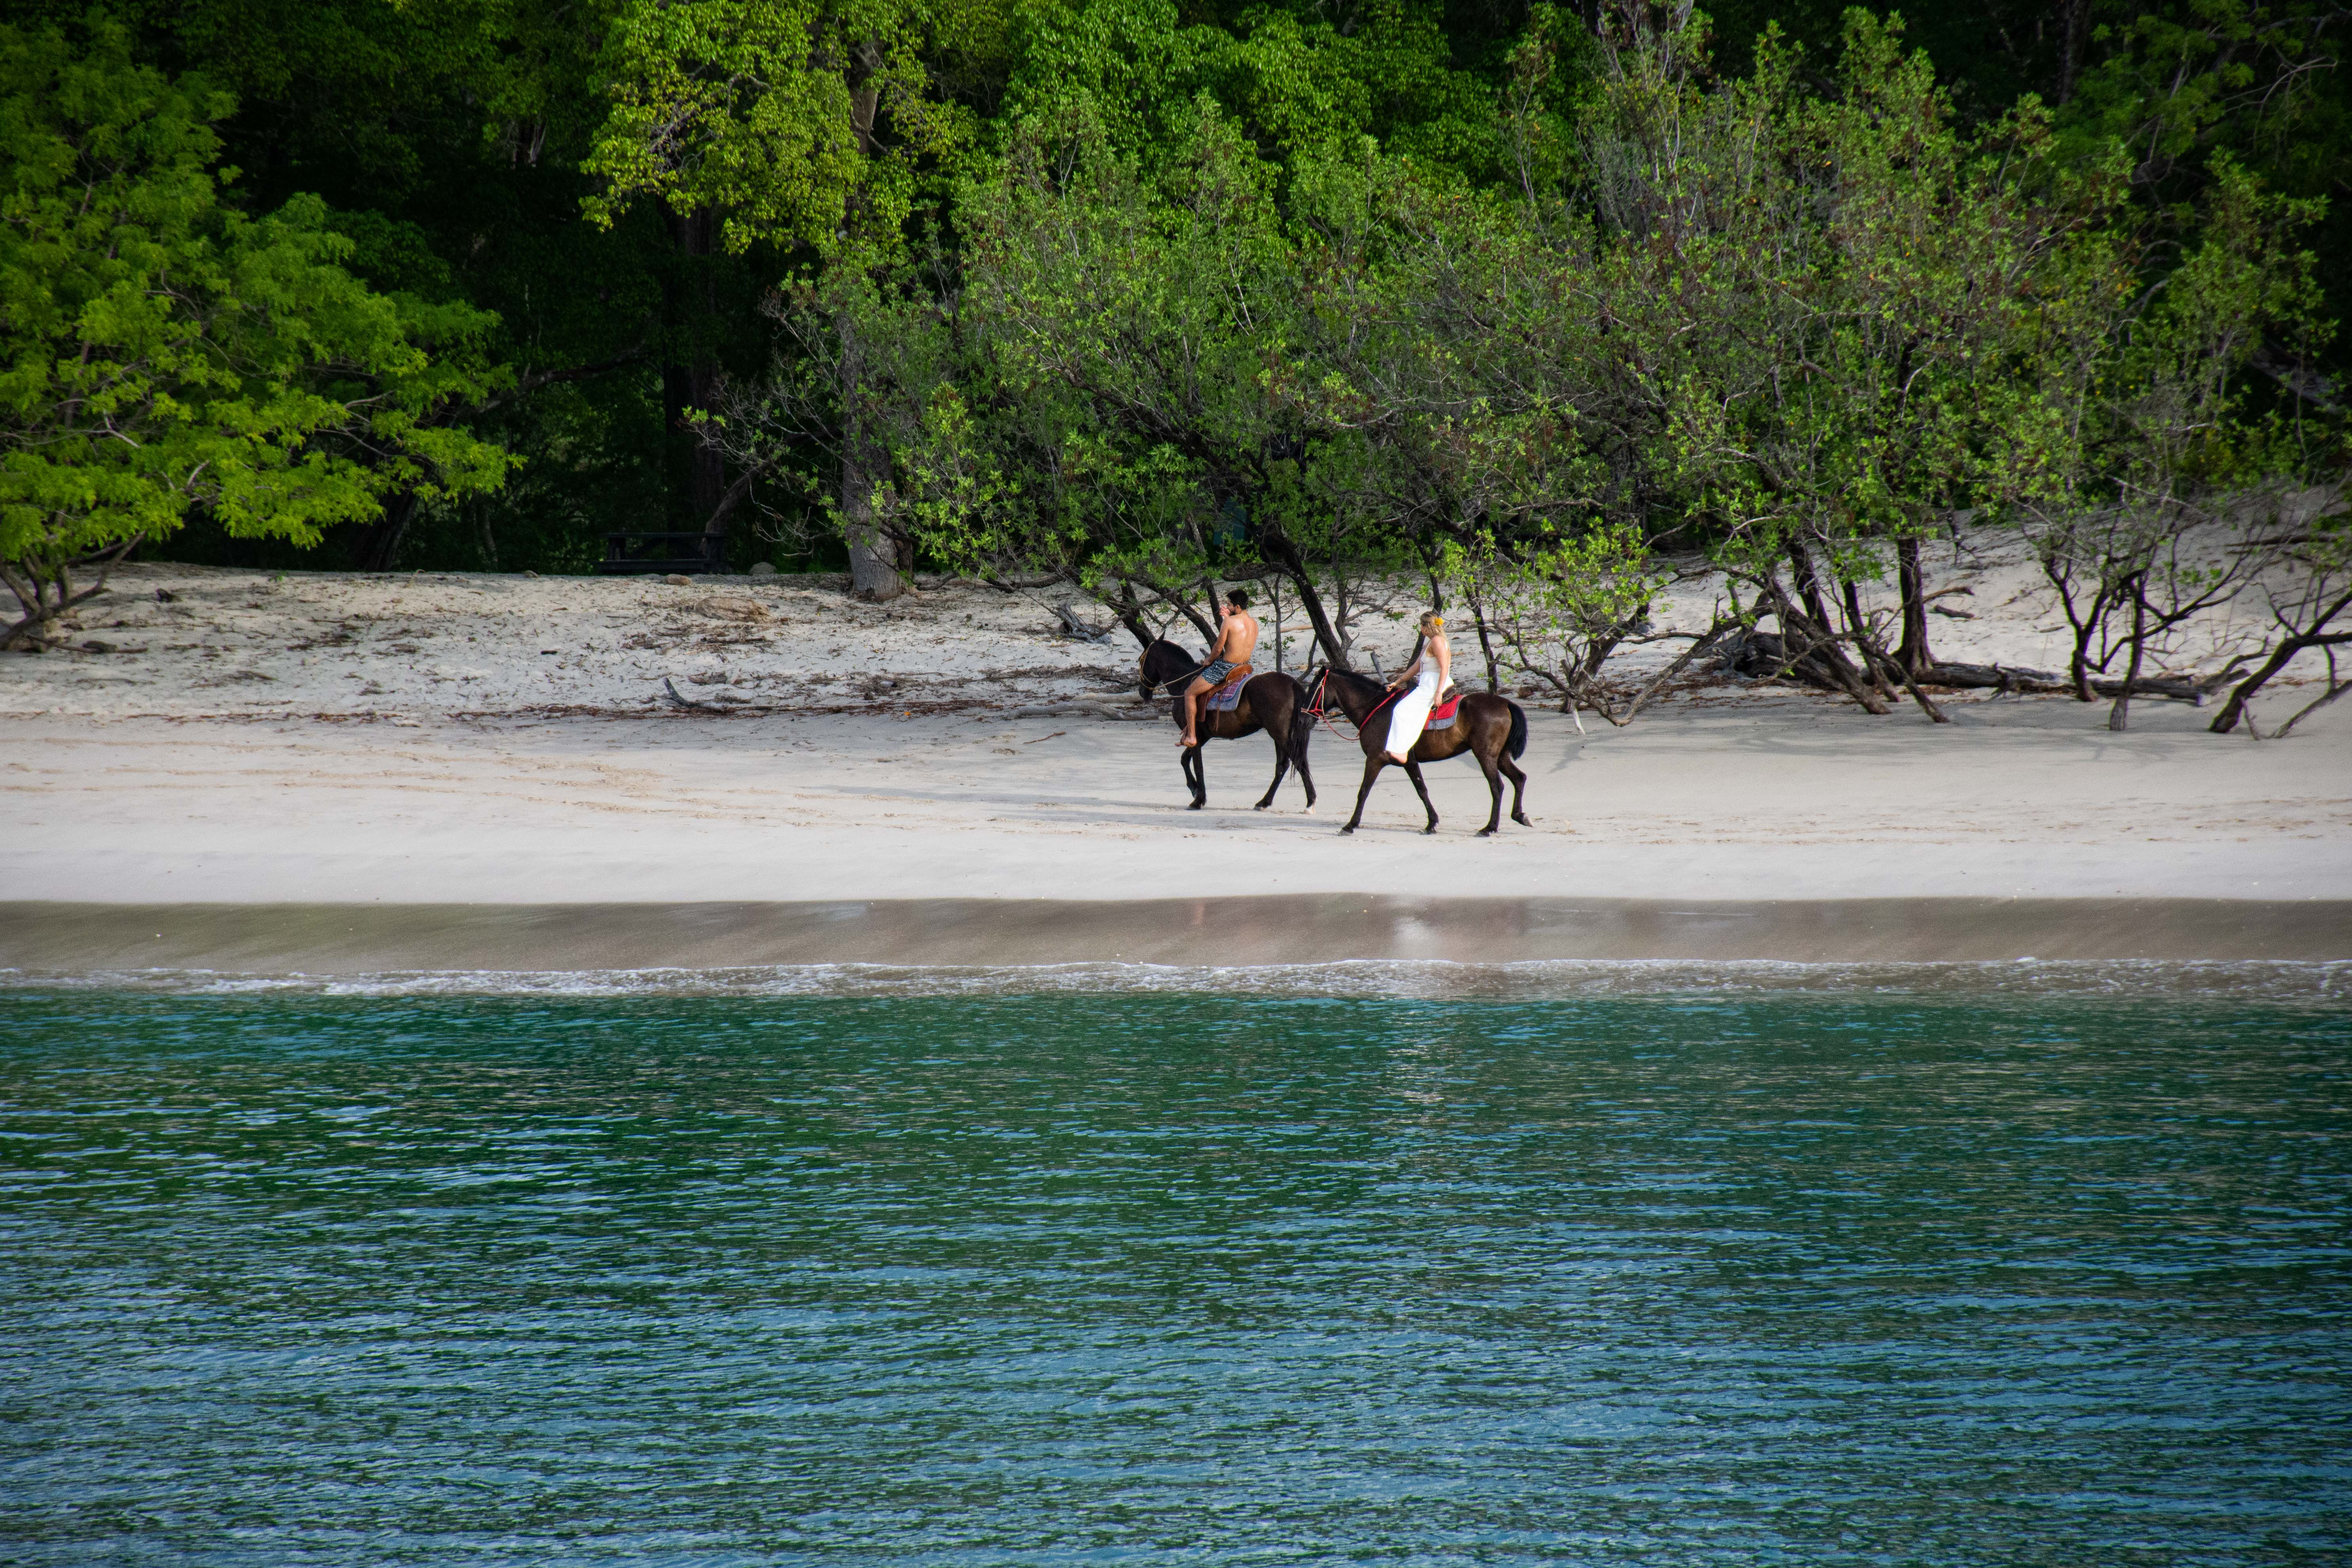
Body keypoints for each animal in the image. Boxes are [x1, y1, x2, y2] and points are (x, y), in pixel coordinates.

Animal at [1139, 638, 1317, 812]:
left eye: (1141, 660)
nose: (1142, 692)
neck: (1183, 684)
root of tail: (1292, 684)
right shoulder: (1202, 736)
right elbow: (1184, 759)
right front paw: (1194, 789)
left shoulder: (1195, 735)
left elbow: (1198, 766)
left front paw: (1199, 800)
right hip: (1280, 735)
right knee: (1283, 766)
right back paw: (1264, 802)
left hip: (1280, 734)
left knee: (1298, 762)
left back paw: (1310, 802)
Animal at [1302, 664, 1532, 836]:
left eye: (1314, 689)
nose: (1304, 717)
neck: (1375, 709)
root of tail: (1506, 703)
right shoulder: (1410, 762)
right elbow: (1422, 790)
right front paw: (1432, 823)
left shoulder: (1375, 759)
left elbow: (1363, 792)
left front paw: (1351, 825)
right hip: (1500, 757)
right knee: (1519, 779)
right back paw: (1520, 815)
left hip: (1485, 756)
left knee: (1497, 787)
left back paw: (1489, 828)